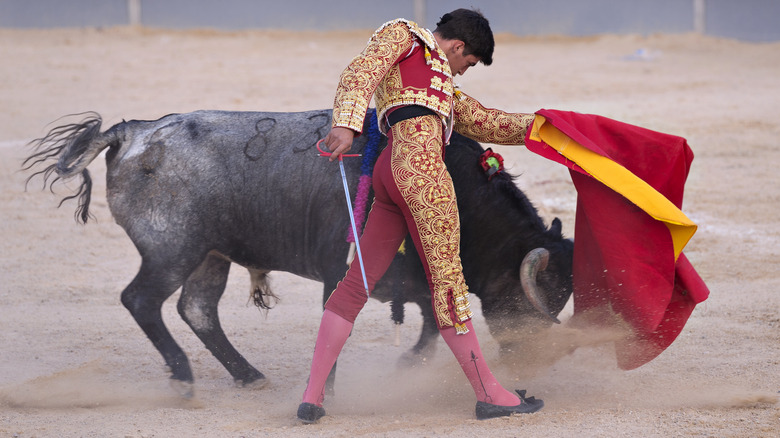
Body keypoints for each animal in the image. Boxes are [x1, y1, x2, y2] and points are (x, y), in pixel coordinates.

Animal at [24, 109, 572, 396]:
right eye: (527, 299)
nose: (534, 363)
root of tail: (132, 129)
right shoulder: (344, 271)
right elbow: (348, 320)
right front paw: (328, 390)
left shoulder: (406, 277)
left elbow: (431, 317)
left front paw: (409, 364)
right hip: (172, 249)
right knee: (142, 300)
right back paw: (182, 377)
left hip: (209, 256)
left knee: (196, 309)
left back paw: (249, 376)